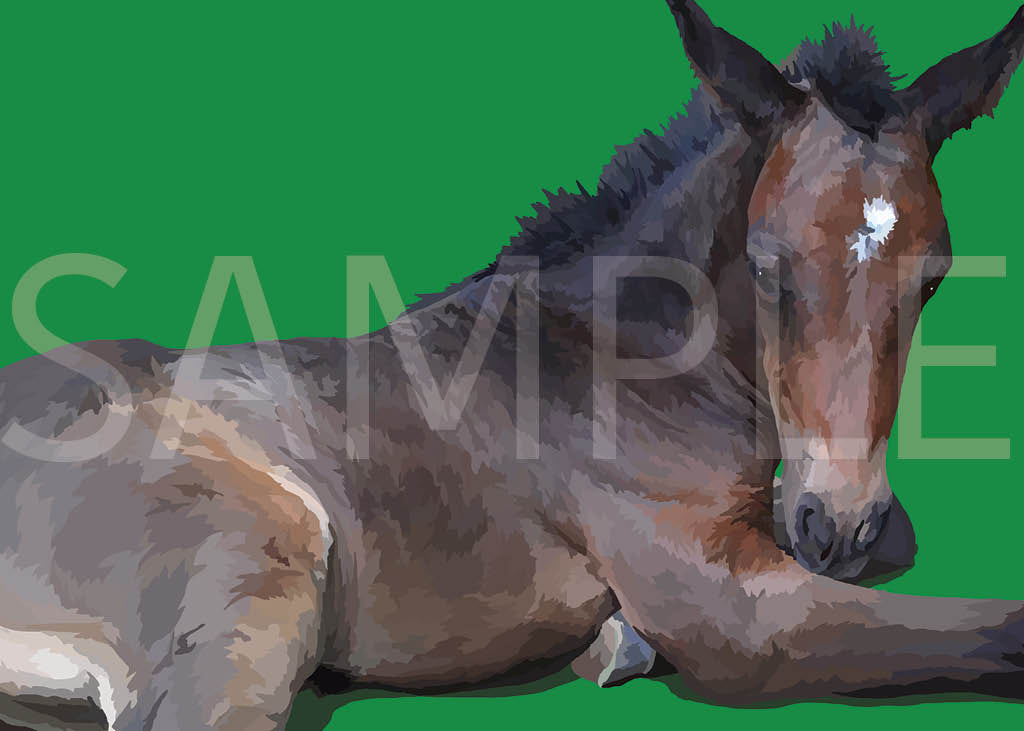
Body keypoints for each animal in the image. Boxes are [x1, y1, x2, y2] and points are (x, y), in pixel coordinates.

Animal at [2, 1, 1024, 728]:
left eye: (934, 278)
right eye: (769, 263)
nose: (835, 525)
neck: (623, 359)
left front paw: (614, 645)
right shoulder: (734, 608)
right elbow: (988, 626)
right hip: (248, 591)